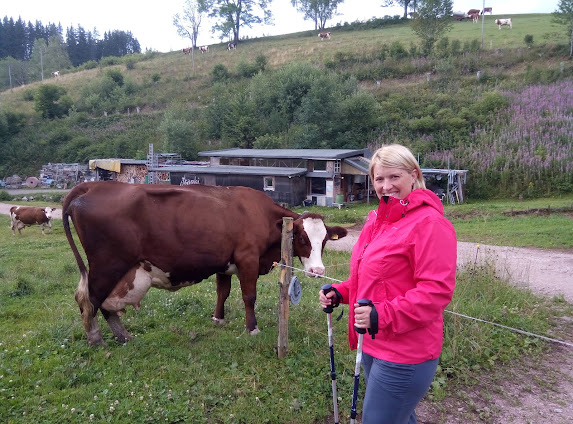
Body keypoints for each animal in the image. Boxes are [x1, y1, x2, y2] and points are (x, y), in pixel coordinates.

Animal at [63, 181, 348, 344]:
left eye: (324, 240)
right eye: (301, 237)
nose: (318, 270)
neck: (263, 215)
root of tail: (94, 185)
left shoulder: (225, 263)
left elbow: (223, 291)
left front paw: (218, 318)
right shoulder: (247, 259)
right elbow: (248, 296)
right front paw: (252, 328)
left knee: (104, 304)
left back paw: (123, 336)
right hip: (107, 266)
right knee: (89, 300)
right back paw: (97, 339)